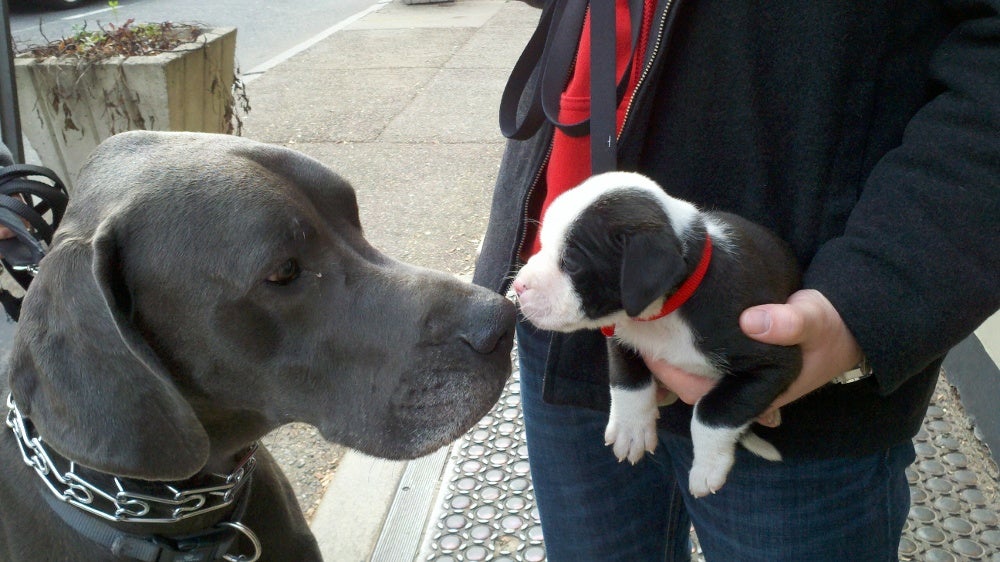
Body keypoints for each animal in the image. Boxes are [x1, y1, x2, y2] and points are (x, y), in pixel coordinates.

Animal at [520, 171, 800, 494]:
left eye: (571, 262)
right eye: (543, 244)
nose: (518, 286)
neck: (665, 312)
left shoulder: (775, 360)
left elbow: (713, 411)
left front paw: (707, 466)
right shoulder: (621, 334)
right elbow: (627, 379)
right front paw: (631, 428)